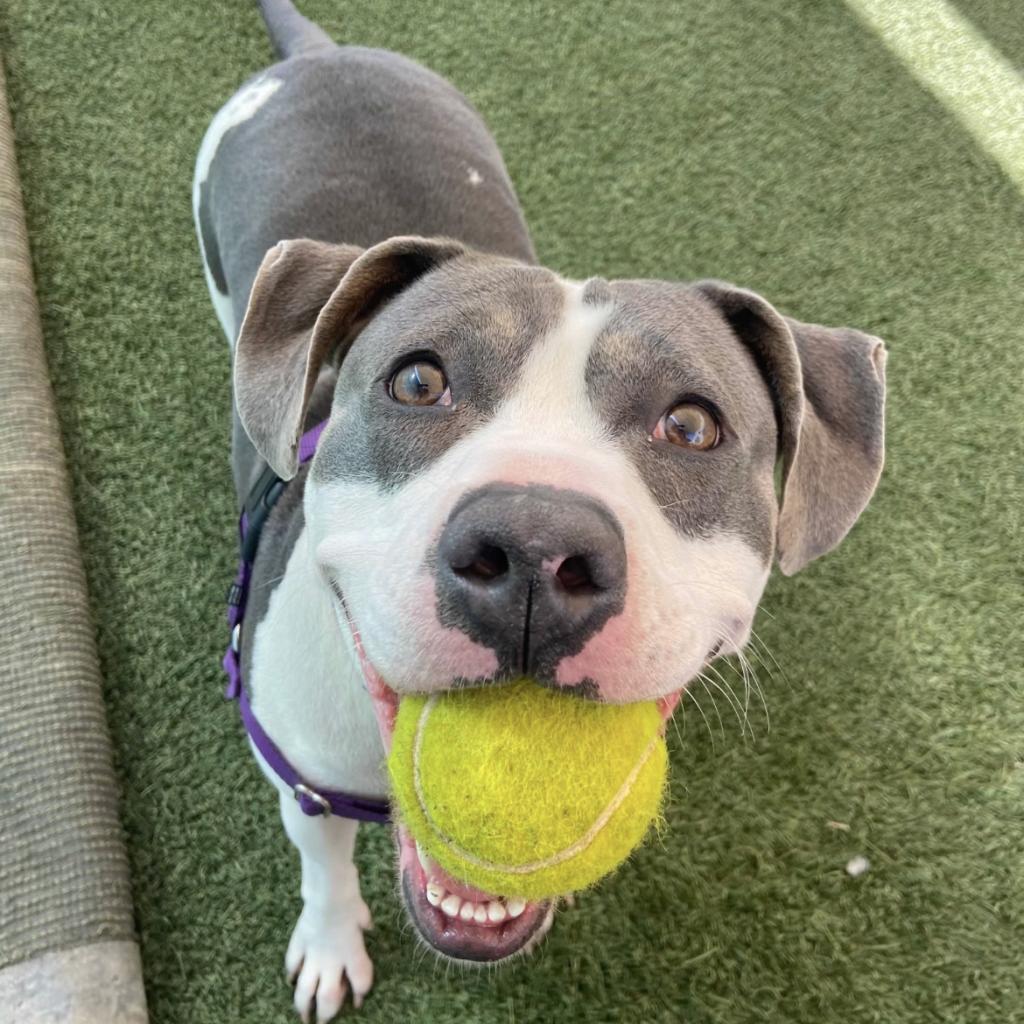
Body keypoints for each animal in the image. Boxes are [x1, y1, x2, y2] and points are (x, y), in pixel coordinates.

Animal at [192, 4, 888, 1019]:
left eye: (692, 425)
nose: (532, 551)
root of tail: (325, 57)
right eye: (417, 381)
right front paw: (328, 942)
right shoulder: (306, 780)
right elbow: (323, 868)